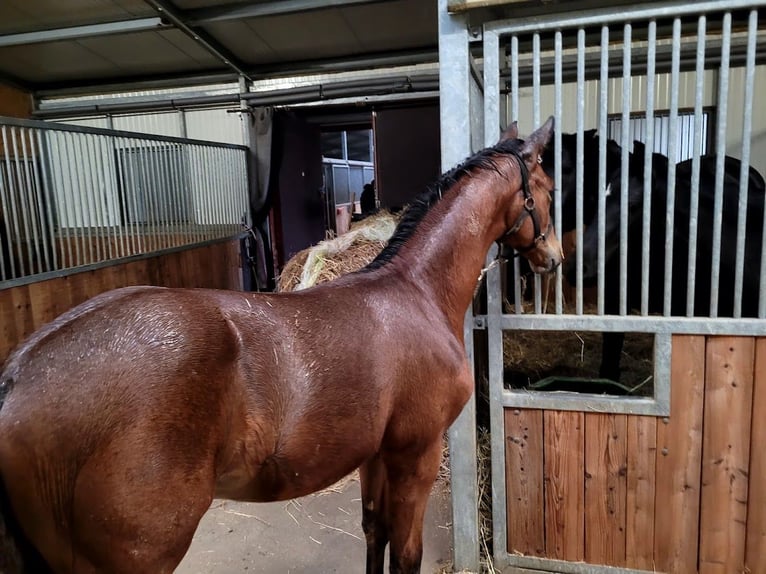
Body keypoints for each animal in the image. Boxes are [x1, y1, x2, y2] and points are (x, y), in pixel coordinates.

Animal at [0, 119, 564, 572]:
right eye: (550, 189)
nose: (554, 258)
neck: (415, 292)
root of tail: (18, 377)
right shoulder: (415, 455)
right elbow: (406, 553)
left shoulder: (376, 456)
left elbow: (374, 534)